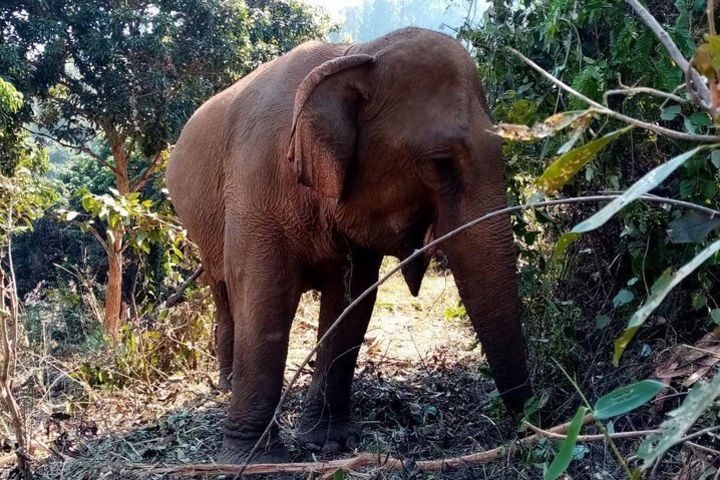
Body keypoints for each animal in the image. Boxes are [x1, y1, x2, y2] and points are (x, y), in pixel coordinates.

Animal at [166, 27, 532, 464]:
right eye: (441, 163)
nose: (525, 426)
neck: (357, 53)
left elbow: (351, 301)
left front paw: (327, 444)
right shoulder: (253, 187)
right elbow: (263, 297)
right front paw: (255, 461)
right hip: (199, 226)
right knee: (222, 293)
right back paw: (226, 383)